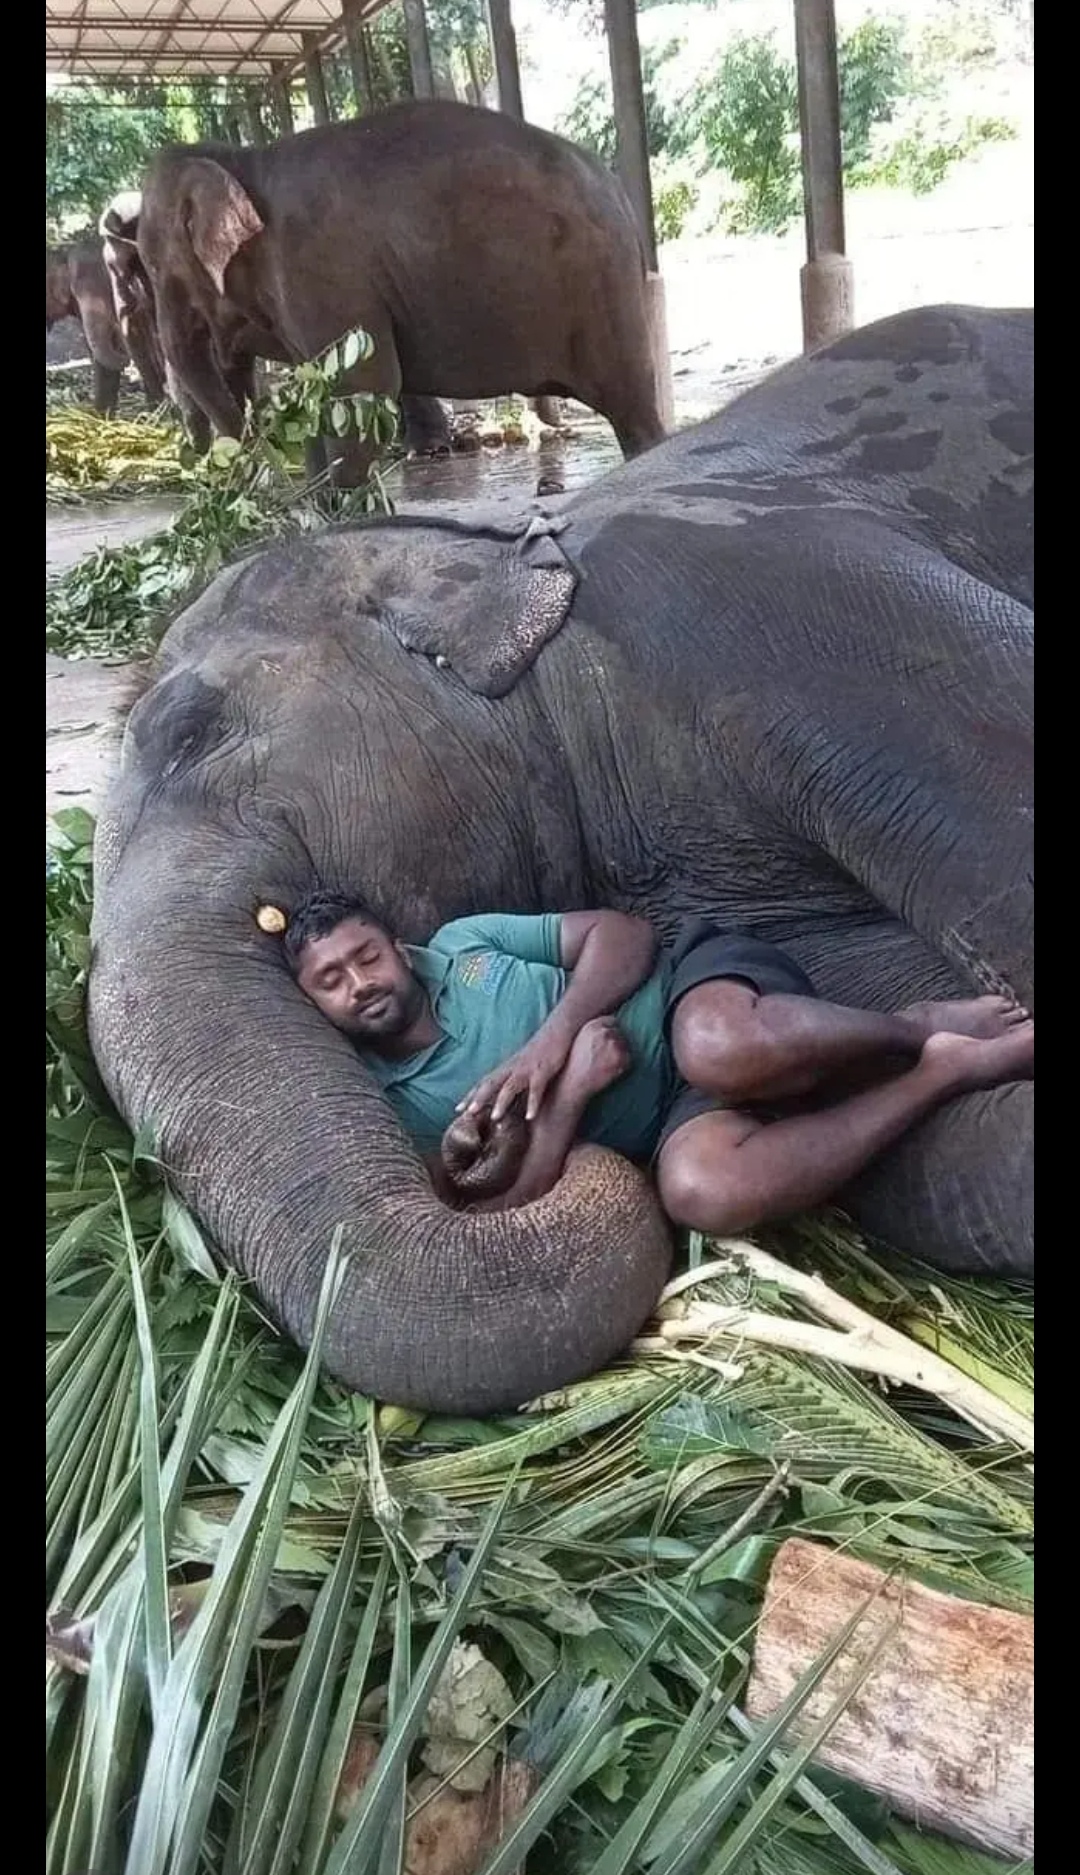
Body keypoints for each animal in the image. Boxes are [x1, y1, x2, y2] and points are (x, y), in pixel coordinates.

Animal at [106, 100, 664, 483]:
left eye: (152, 267)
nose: (242, 461)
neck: (240, 161)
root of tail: (619, 192)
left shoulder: (320, 270)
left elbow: (364, 390)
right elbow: (317, 395)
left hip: (604, 287)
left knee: (632, 410)